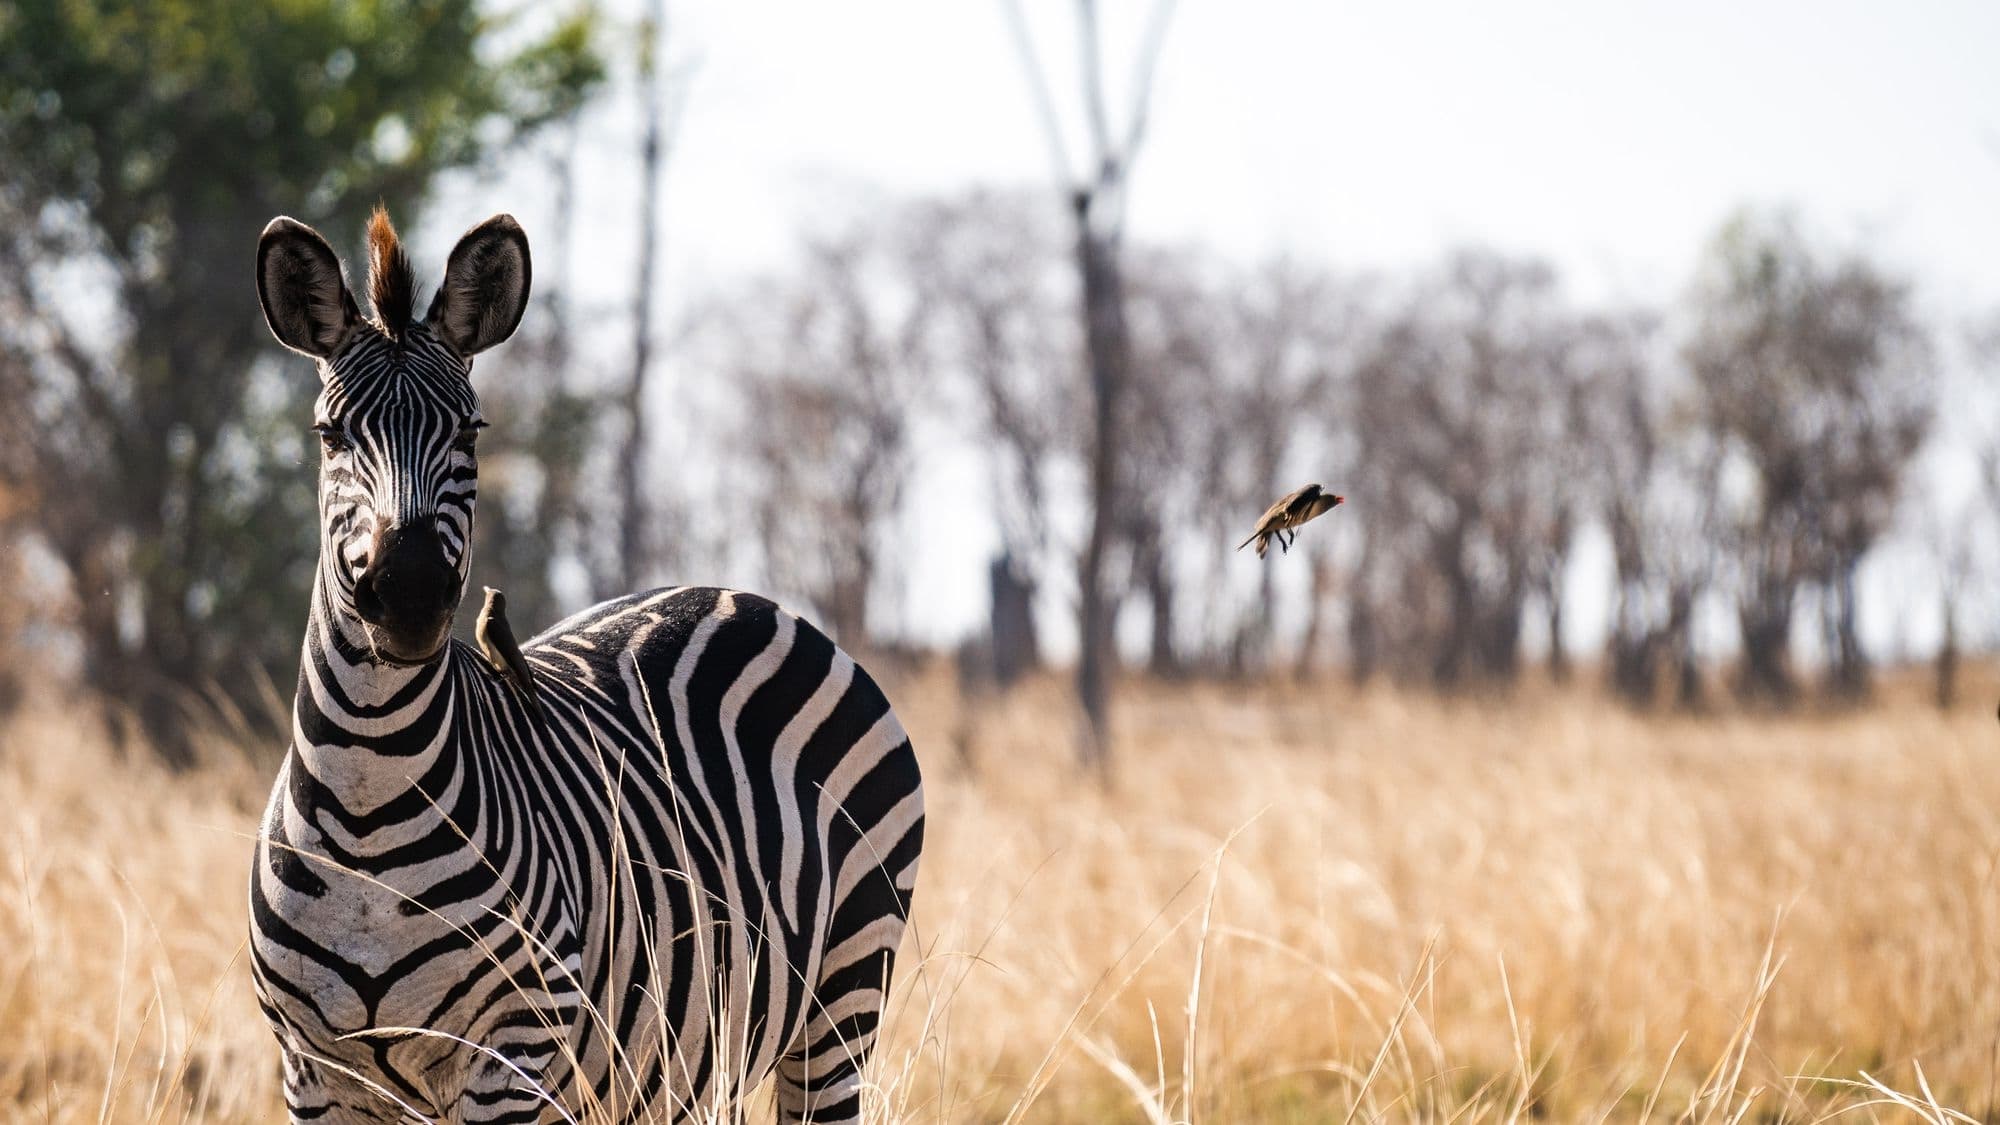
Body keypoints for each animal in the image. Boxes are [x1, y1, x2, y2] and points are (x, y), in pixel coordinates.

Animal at [246, 206, 924, 1112]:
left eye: (470, 430)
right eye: (329, 433)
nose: (410, 592)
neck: (369, 793)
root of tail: (742, 595)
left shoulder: (509, 1048)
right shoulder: (312, 1070)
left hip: (843, 997)